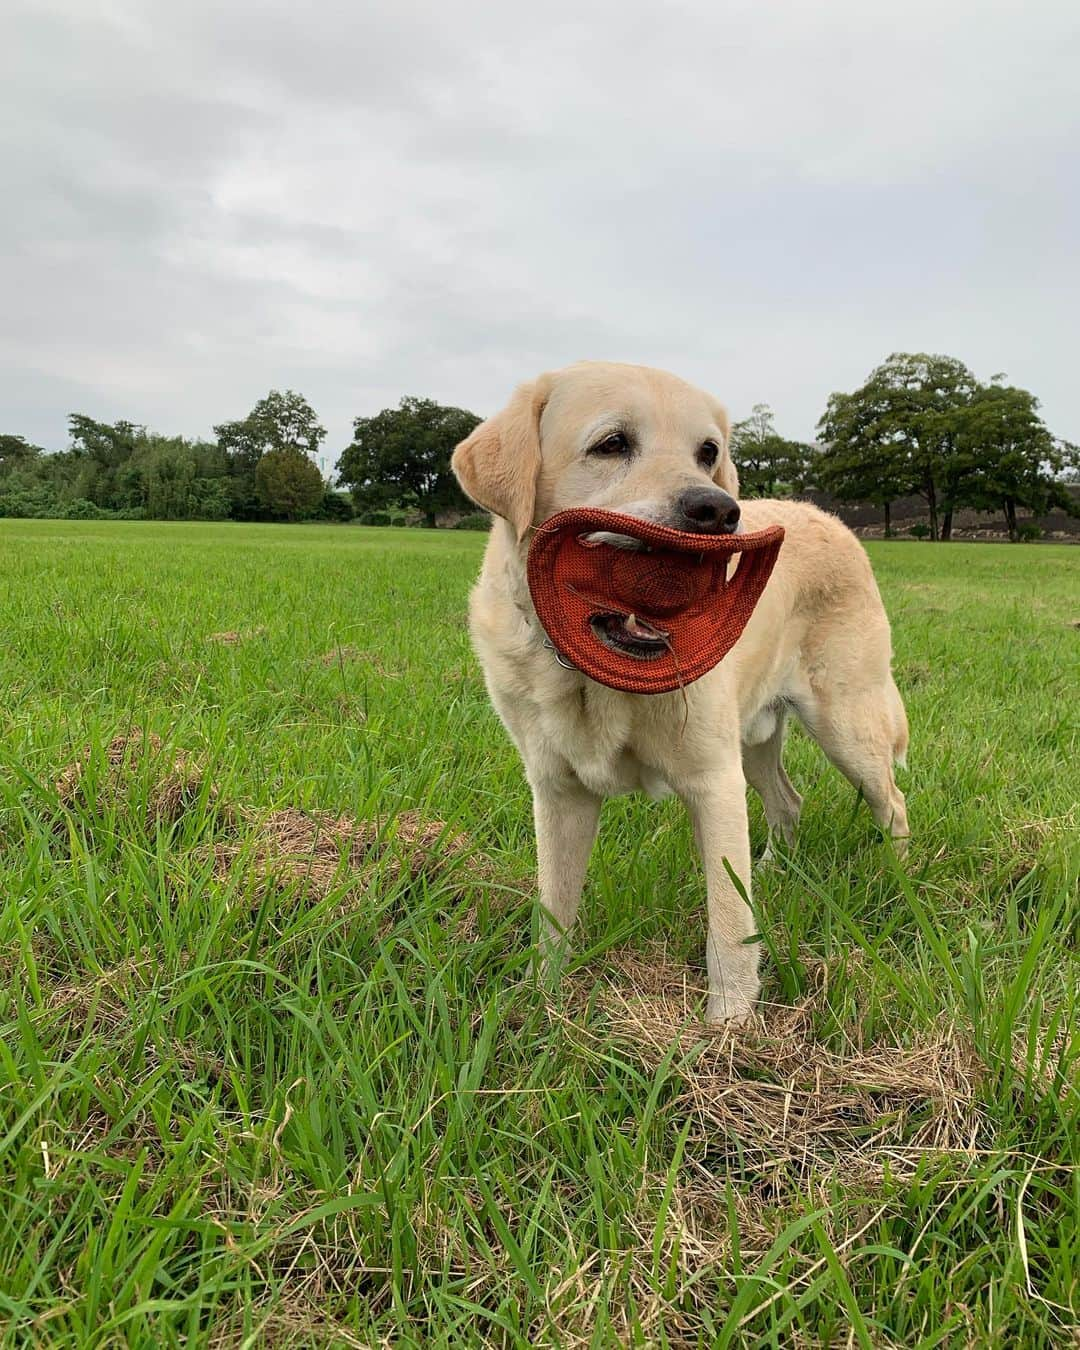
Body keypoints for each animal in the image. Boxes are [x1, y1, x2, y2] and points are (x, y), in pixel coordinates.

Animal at [450, 361, 907, 1020]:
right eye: (612, 443)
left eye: (707, 452)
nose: (718, 511)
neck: (590, 674)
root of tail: (830, 519)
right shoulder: (559, 794)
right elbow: (554, 915)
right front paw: (541, 1005)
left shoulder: (713, 784)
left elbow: (730, 924)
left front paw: (729, 1027)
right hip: (755, 743)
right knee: (788, 801)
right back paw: (775, 871)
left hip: (847, 727)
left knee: (891, 802)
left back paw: (898, 879)